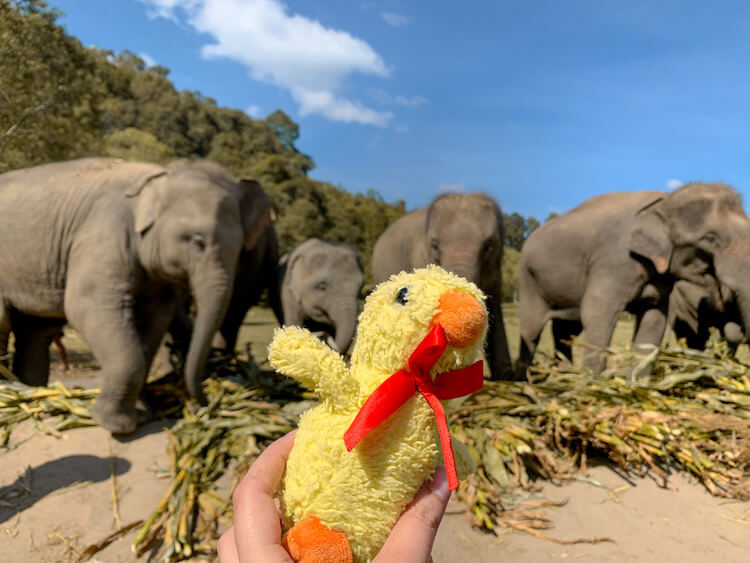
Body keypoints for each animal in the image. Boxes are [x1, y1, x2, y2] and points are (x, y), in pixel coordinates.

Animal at [0, 157, 271, 434]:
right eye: (197, 241)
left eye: (241, 250)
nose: (203, 405)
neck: (159, 178)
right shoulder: (103, 234)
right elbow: (85, 306)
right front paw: (117, 424)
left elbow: (153, 321)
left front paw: (143, 415)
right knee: (7, 322)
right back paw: (11, 395)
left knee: (36, 330)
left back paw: (30, 393)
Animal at [518, 182, 750, 373]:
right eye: (710, 238)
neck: (664, 203)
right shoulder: (612, 261)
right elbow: (597, 313)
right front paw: (591, 383)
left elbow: (654, 321)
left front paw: (635, 385)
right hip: (529, 280)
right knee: (531, 331)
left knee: (566, 331)